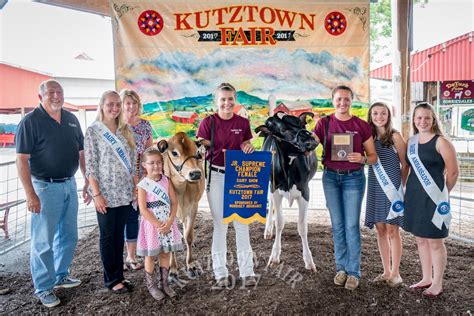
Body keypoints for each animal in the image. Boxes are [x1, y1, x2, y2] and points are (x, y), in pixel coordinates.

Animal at [256, 111, 318, 272]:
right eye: (283, 130)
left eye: (302, 124)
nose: (311, 142)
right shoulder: (275, 189)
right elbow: (279, 222)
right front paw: (274, 256)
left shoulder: (305, 191)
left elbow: (302, 226)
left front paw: (309, 260)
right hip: (269, 184)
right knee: (270, 203)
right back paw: (268, 230)